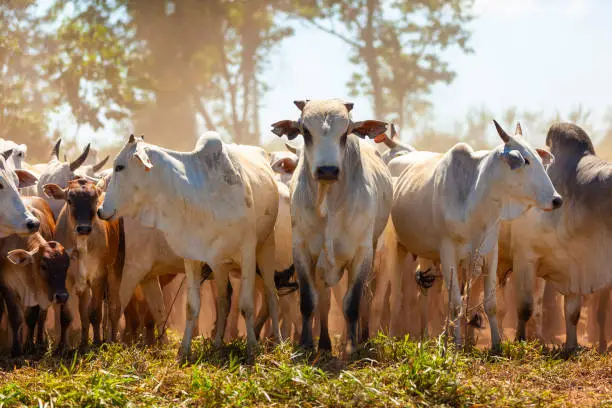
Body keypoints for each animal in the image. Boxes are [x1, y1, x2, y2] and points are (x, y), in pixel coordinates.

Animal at [98, 133, 280, 360]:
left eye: (120, 167)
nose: (100, 210)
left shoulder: (246, 253)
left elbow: (246, 305)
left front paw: (252, 349)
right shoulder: (192, 257)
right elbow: (192, 307)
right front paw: (183, 351)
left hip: (266, 249)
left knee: (272, 295)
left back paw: (278, 342)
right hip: (219, 265)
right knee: (223, 300)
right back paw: (218, 344)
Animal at [272, 99, 392, 354]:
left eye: (345, 132)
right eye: (305, 131)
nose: (327, 170)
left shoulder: (362, 253)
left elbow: (352, 302)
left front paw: (352, 346)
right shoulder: (302, 250)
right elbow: (310, 301)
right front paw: (306, 344)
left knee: (363, 298)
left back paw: (361, 337)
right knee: (325, 302)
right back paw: (326, 343)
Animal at [390, 120, 560, 350]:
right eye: (525, 160)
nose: (556, 199)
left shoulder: (490, 251)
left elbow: (490, 304)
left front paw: (496, 345)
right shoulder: (448, 253)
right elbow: (455, 304)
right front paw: (457, 345)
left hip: (427, 256)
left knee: (424, 291)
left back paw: (427, 335)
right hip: (397, 247)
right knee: (397, 299)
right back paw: (397, 337)